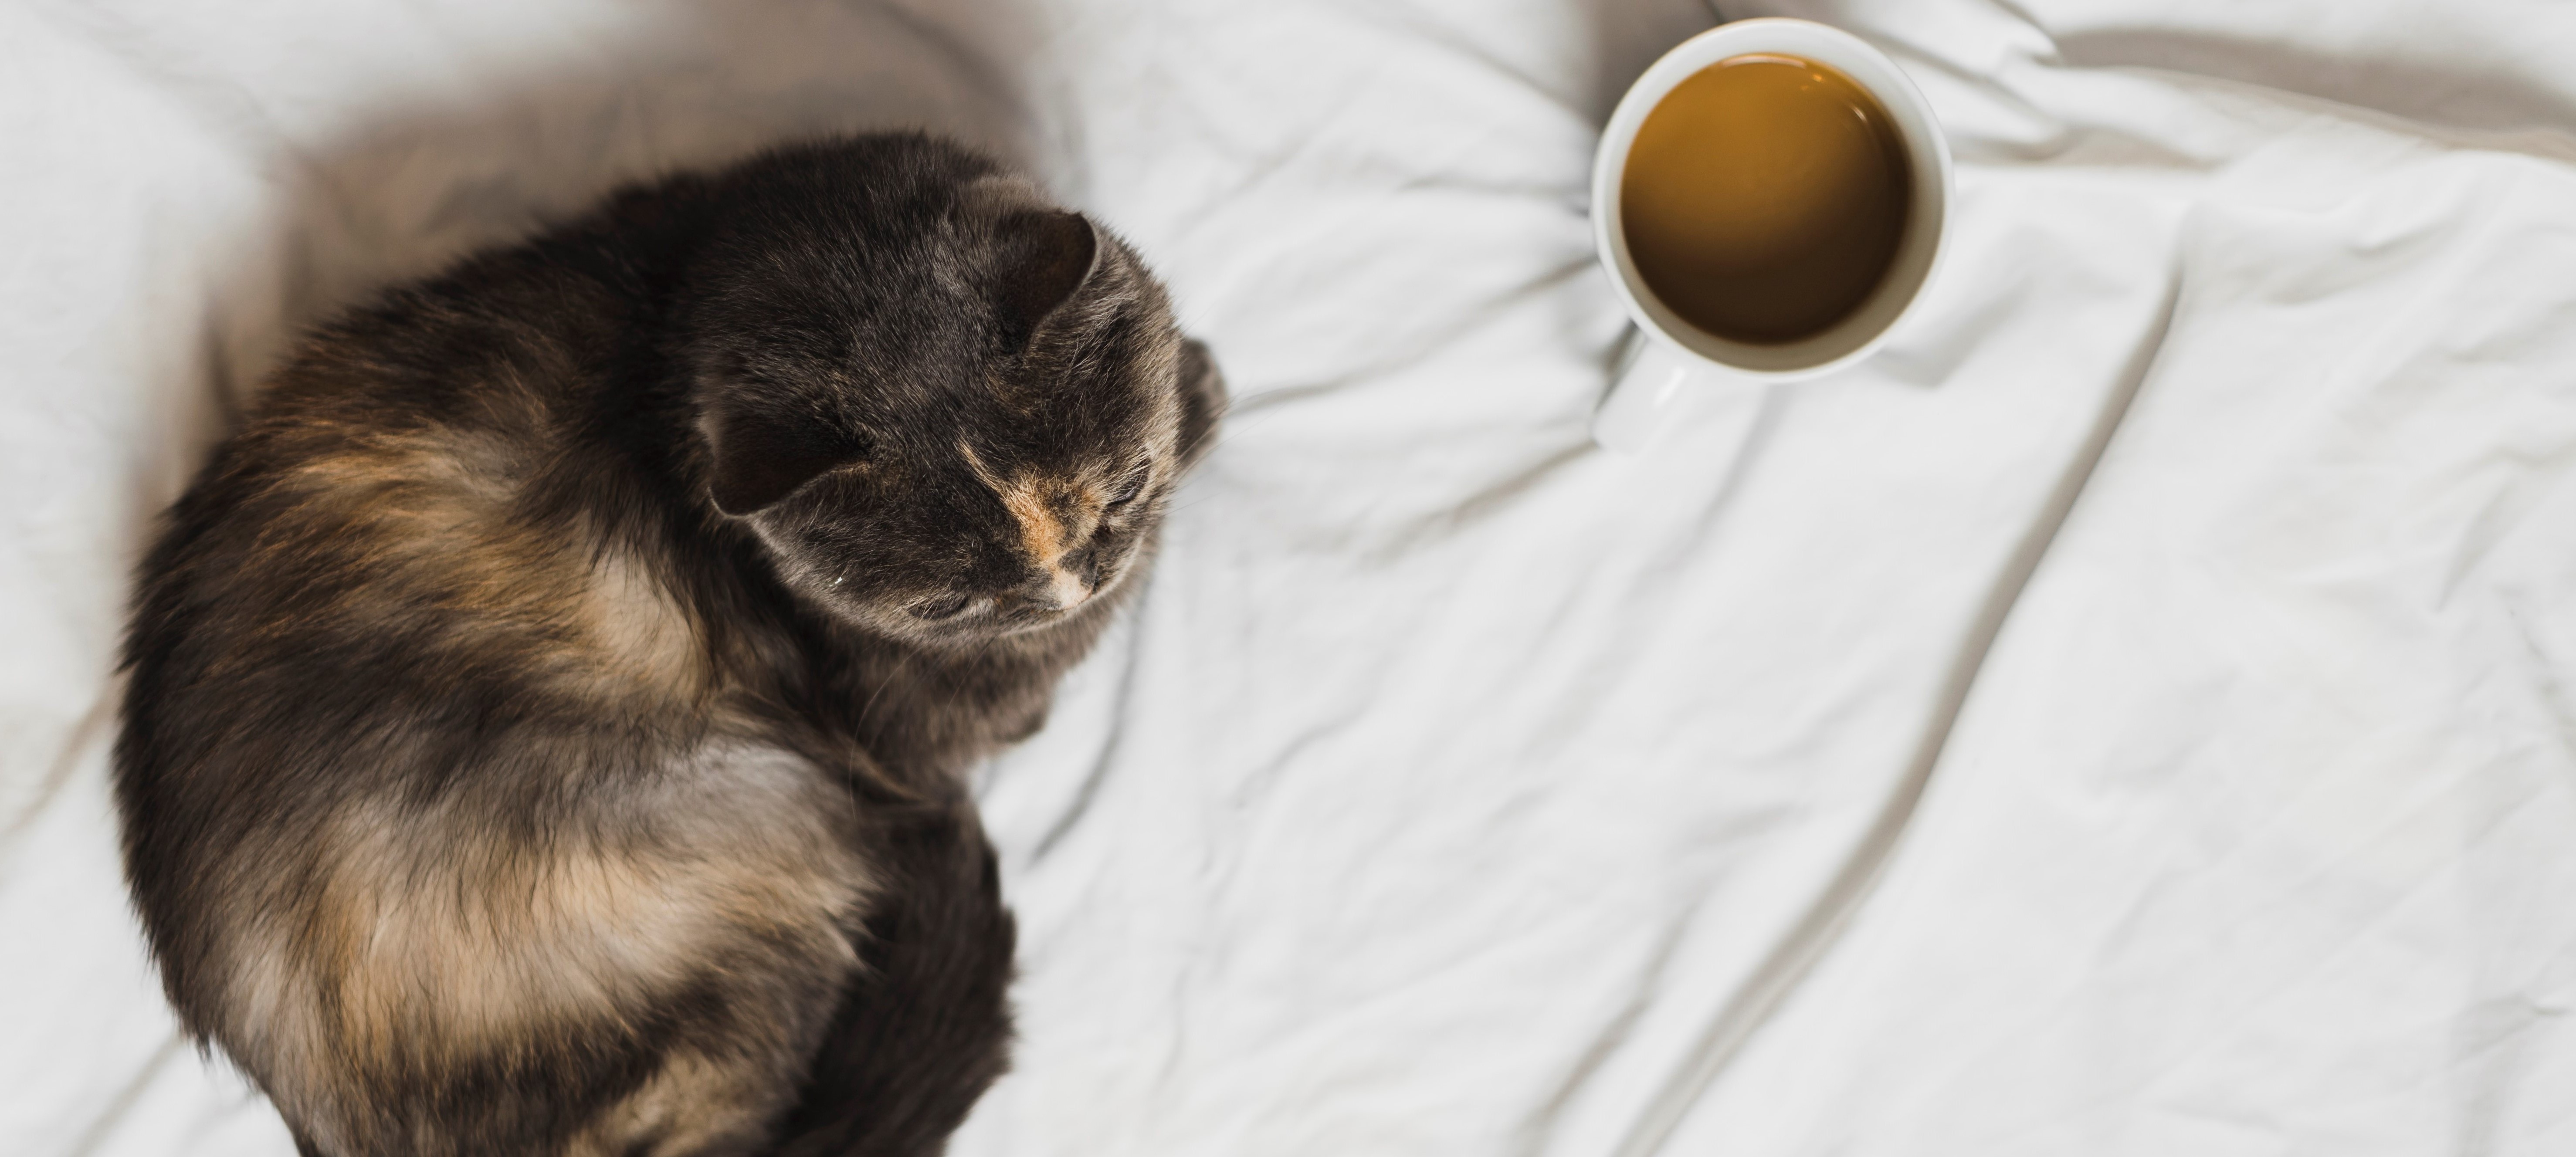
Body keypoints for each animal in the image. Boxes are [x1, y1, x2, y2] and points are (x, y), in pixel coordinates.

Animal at [111, 135, 1216, 1154]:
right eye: (951, 603)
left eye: (1116, 486)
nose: (1076, 576)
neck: (683, 324)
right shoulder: (911, 717)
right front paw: (1195, 397)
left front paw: (1190, 373)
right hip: (757, 817)